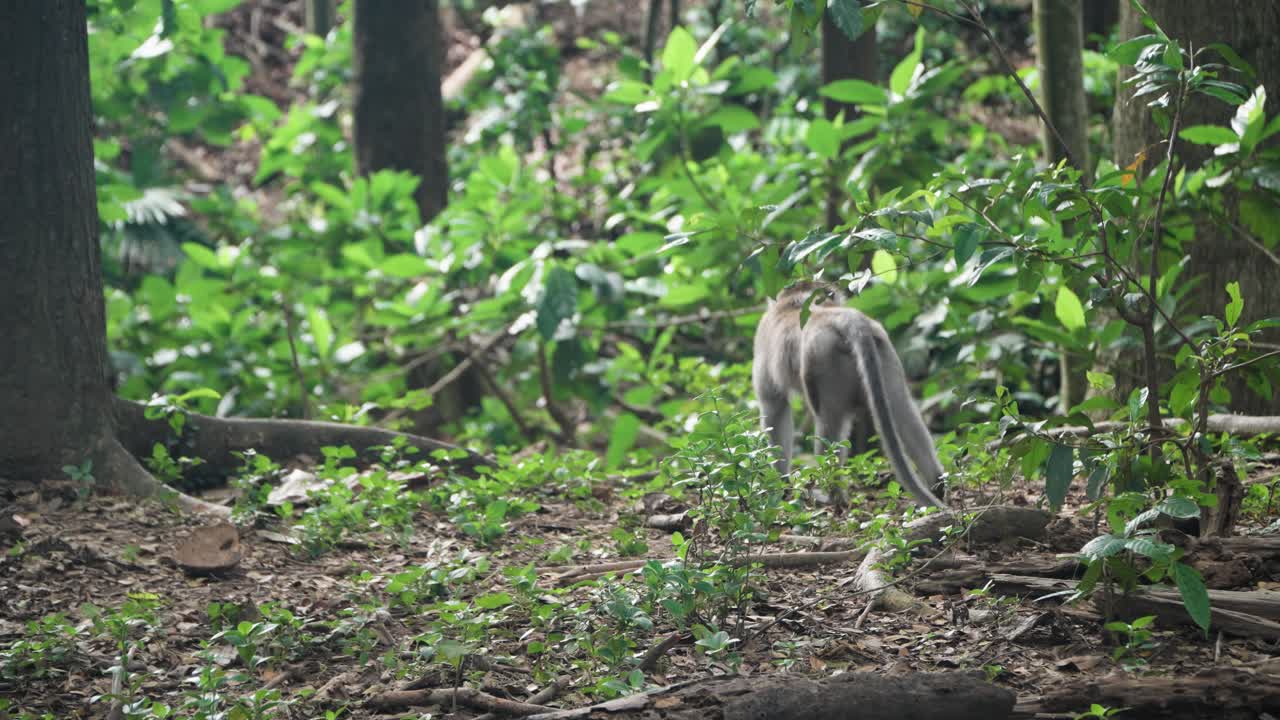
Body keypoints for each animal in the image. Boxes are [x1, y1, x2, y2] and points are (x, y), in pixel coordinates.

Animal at [751, 281, 948, 509]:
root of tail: (843, 318)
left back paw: (832, 495)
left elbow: (774, 408)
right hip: (882, 349)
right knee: (902, 410)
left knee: (828, 420)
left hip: (825, 358)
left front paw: (780, 485)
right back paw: (936, 483)